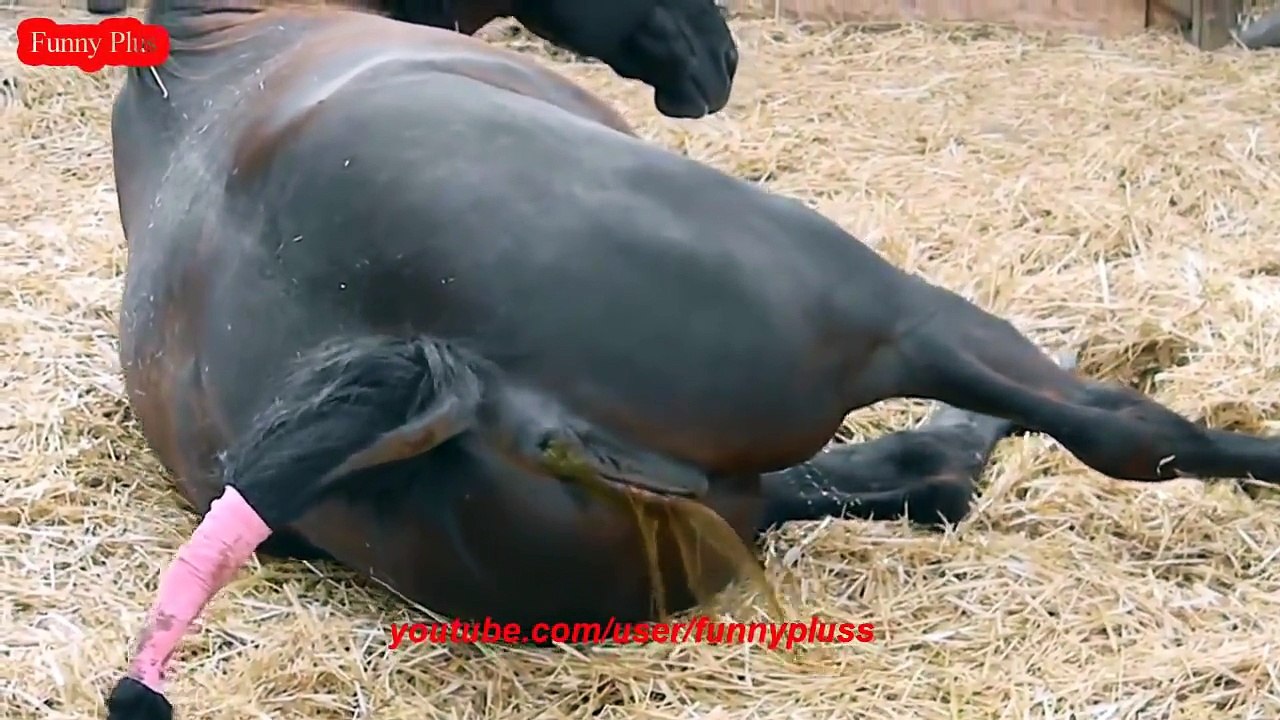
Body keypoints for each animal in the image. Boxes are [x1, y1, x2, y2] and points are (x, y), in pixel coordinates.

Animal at [105, 1, 1280, 718]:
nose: (717, 60)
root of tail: (468, 391)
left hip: (736, 500)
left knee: (922, 473)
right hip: (889, 319)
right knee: (1114, 430)